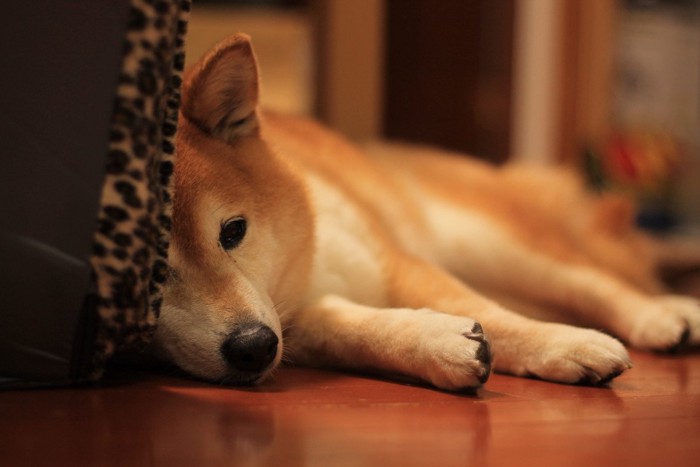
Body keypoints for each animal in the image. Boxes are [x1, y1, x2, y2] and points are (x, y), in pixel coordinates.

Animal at [152, 33, 700, 392]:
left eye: (233, 232)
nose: (252, 346)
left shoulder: (391, 263)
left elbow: (491, 314)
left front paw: (564, 345)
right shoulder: (292, 317)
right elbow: (346, 332)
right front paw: (439, 345)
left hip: (484, 243)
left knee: (597, 281)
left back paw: (662, 315)